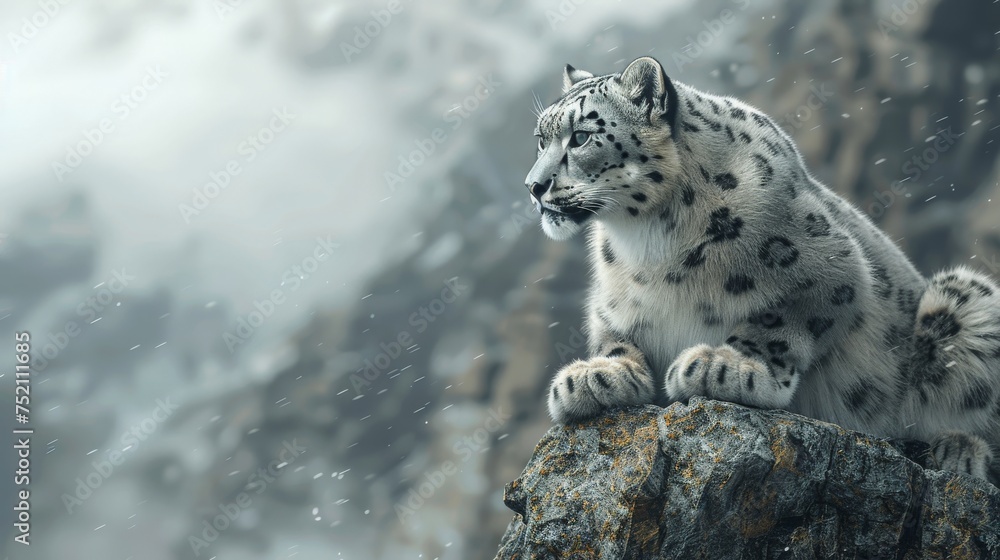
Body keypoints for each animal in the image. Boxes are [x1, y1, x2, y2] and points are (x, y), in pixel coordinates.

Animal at [524, 56, 1000, 484]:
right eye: (540, 140)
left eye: (581, 136)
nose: (533, 185)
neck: (647, 244)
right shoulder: (612, 303)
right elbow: (616, 337)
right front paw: (596, 376)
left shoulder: (832, 268)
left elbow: (778, 323)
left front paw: (725, 365)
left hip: (968, 300)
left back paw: (958, 450)